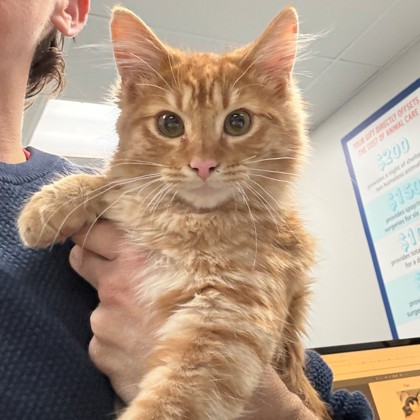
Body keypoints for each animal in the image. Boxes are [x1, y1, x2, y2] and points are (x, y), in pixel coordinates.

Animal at [18, 6, 329, 420]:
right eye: (170, 124)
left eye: (238, 122)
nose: (203, 165)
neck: (189, 218)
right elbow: (112, 183)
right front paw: (48, 205)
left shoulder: (230, 316)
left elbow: (175, 398)